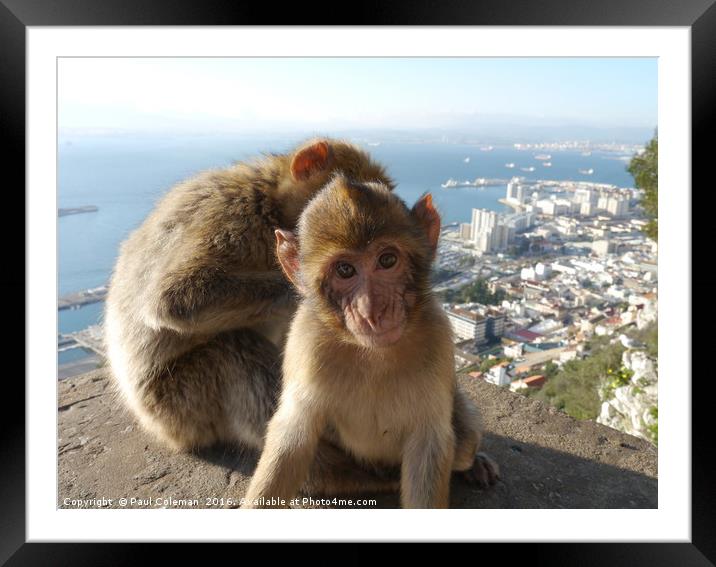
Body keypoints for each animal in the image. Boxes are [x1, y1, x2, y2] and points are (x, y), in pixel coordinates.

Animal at [243, 176, 500, 510]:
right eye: (345, 270)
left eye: (387, 260)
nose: (371, 310)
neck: (374, 354)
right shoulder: (304, 342)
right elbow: (293, 435)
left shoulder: (439, 336)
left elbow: (428, 443)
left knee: (466, 441)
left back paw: (475, 461)